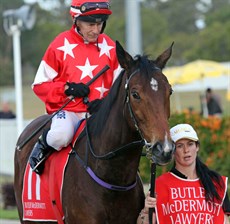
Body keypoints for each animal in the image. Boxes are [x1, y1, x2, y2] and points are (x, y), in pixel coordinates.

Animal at [14, 41, 174, 223]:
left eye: (169, 91)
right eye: (135, 94)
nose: (164, 148)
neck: (112, 178)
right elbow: (42, 85)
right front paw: (76, 89)